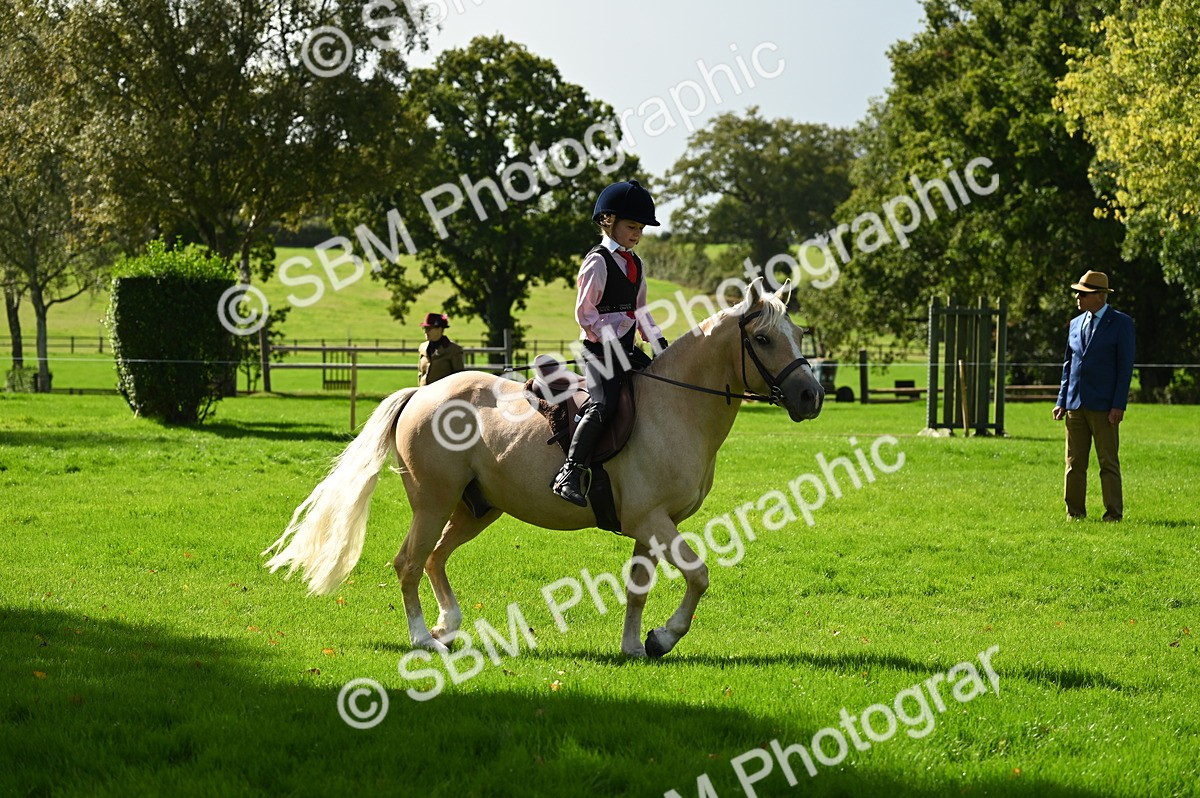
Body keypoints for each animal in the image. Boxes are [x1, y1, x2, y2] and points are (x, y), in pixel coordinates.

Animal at [263, 278, 824, 658]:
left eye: (798, 333)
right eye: (765, 340)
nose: (811, 397)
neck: (676, 405)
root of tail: (422, 394)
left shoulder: (651, 525)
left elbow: (637, 588)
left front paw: (635, 647)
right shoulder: (653, 521)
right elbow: (700, 575)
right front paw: (664, 638)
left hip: (475, 508)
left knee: (434, 559)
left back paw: (449, 625)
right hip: (433, 502)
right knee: (408, 563)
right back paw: (425, 639)